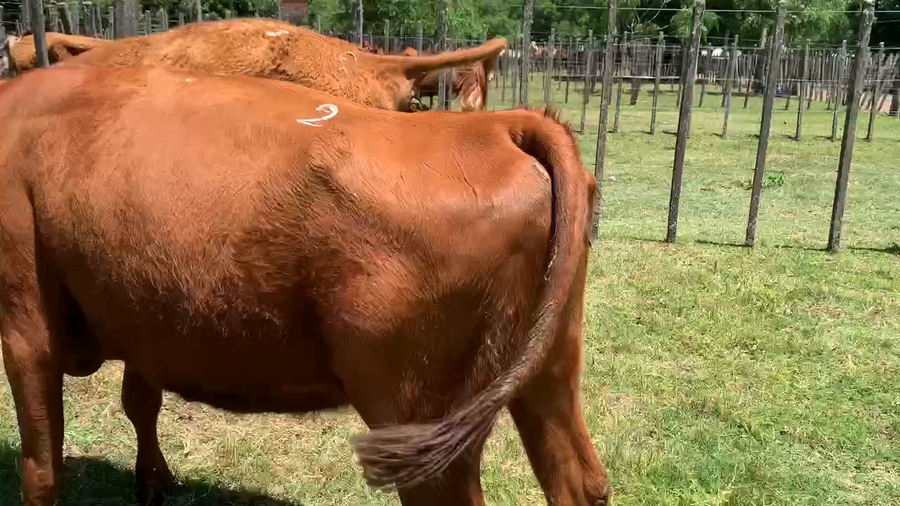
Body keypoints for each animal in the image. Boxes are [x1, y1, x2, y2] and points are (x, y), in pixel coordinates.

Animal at [0, 64, 610, 506]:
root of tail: (498, 125)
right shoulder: (136, 319)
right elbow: (139, 402)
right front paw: (154, 483)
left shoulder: (26, 327)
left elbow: (42, 463)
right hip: (549, 371)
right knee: (580, 479)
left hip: (420, 426)